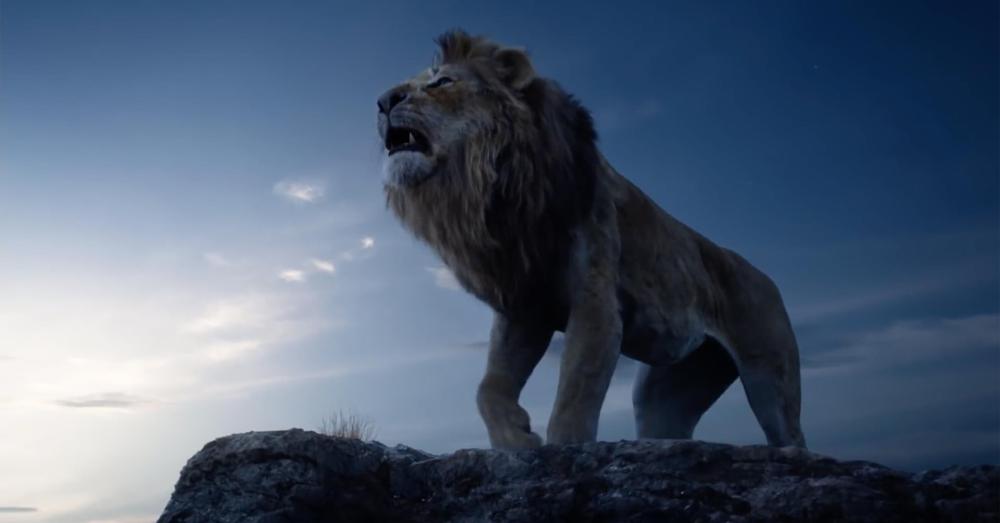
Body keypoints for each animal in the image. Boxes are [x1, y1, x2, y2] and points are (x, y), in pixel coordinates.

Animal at [378, 30, 806, 449]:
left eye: (441, 82)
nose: (382, 101)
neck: (498, 187)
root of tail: (767, 279)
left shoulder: (596, 303)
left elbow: (574, 391)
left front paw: (563, 448)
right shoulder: (525, 306)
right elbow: (489, 387)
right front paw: (515, 438)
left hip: (769, 377)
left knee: (790, 437)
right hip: (665, 394)